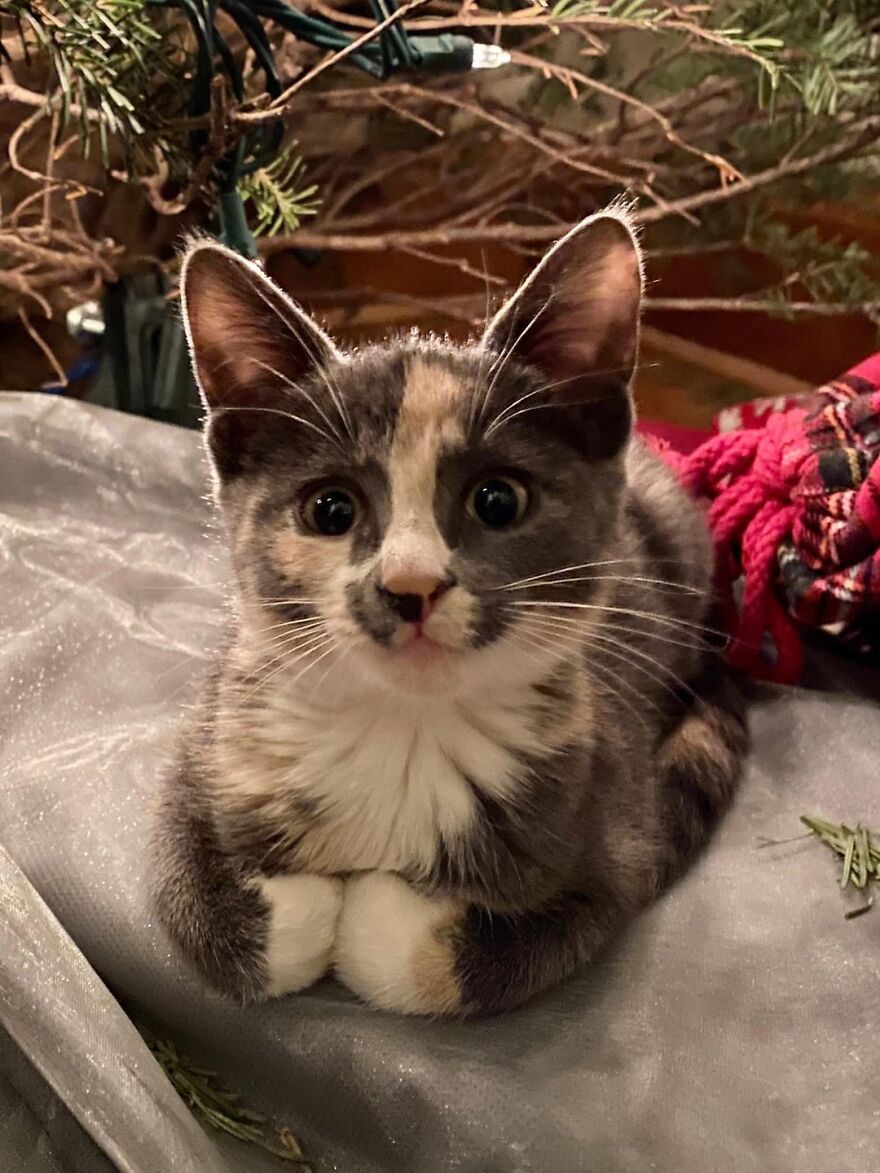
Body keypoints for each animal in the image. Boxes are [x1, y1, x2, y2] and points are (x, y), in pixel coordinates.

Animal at [153, 208, 750, 1018]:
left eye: (498, 499)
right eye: (329, 509)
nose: (412, 586)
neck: (403, 730)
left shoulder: (622, 834)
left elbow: (477, 953)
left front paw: (368, 913)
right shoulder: (203, 748)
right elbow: (188, 898)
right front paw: (305, 907)